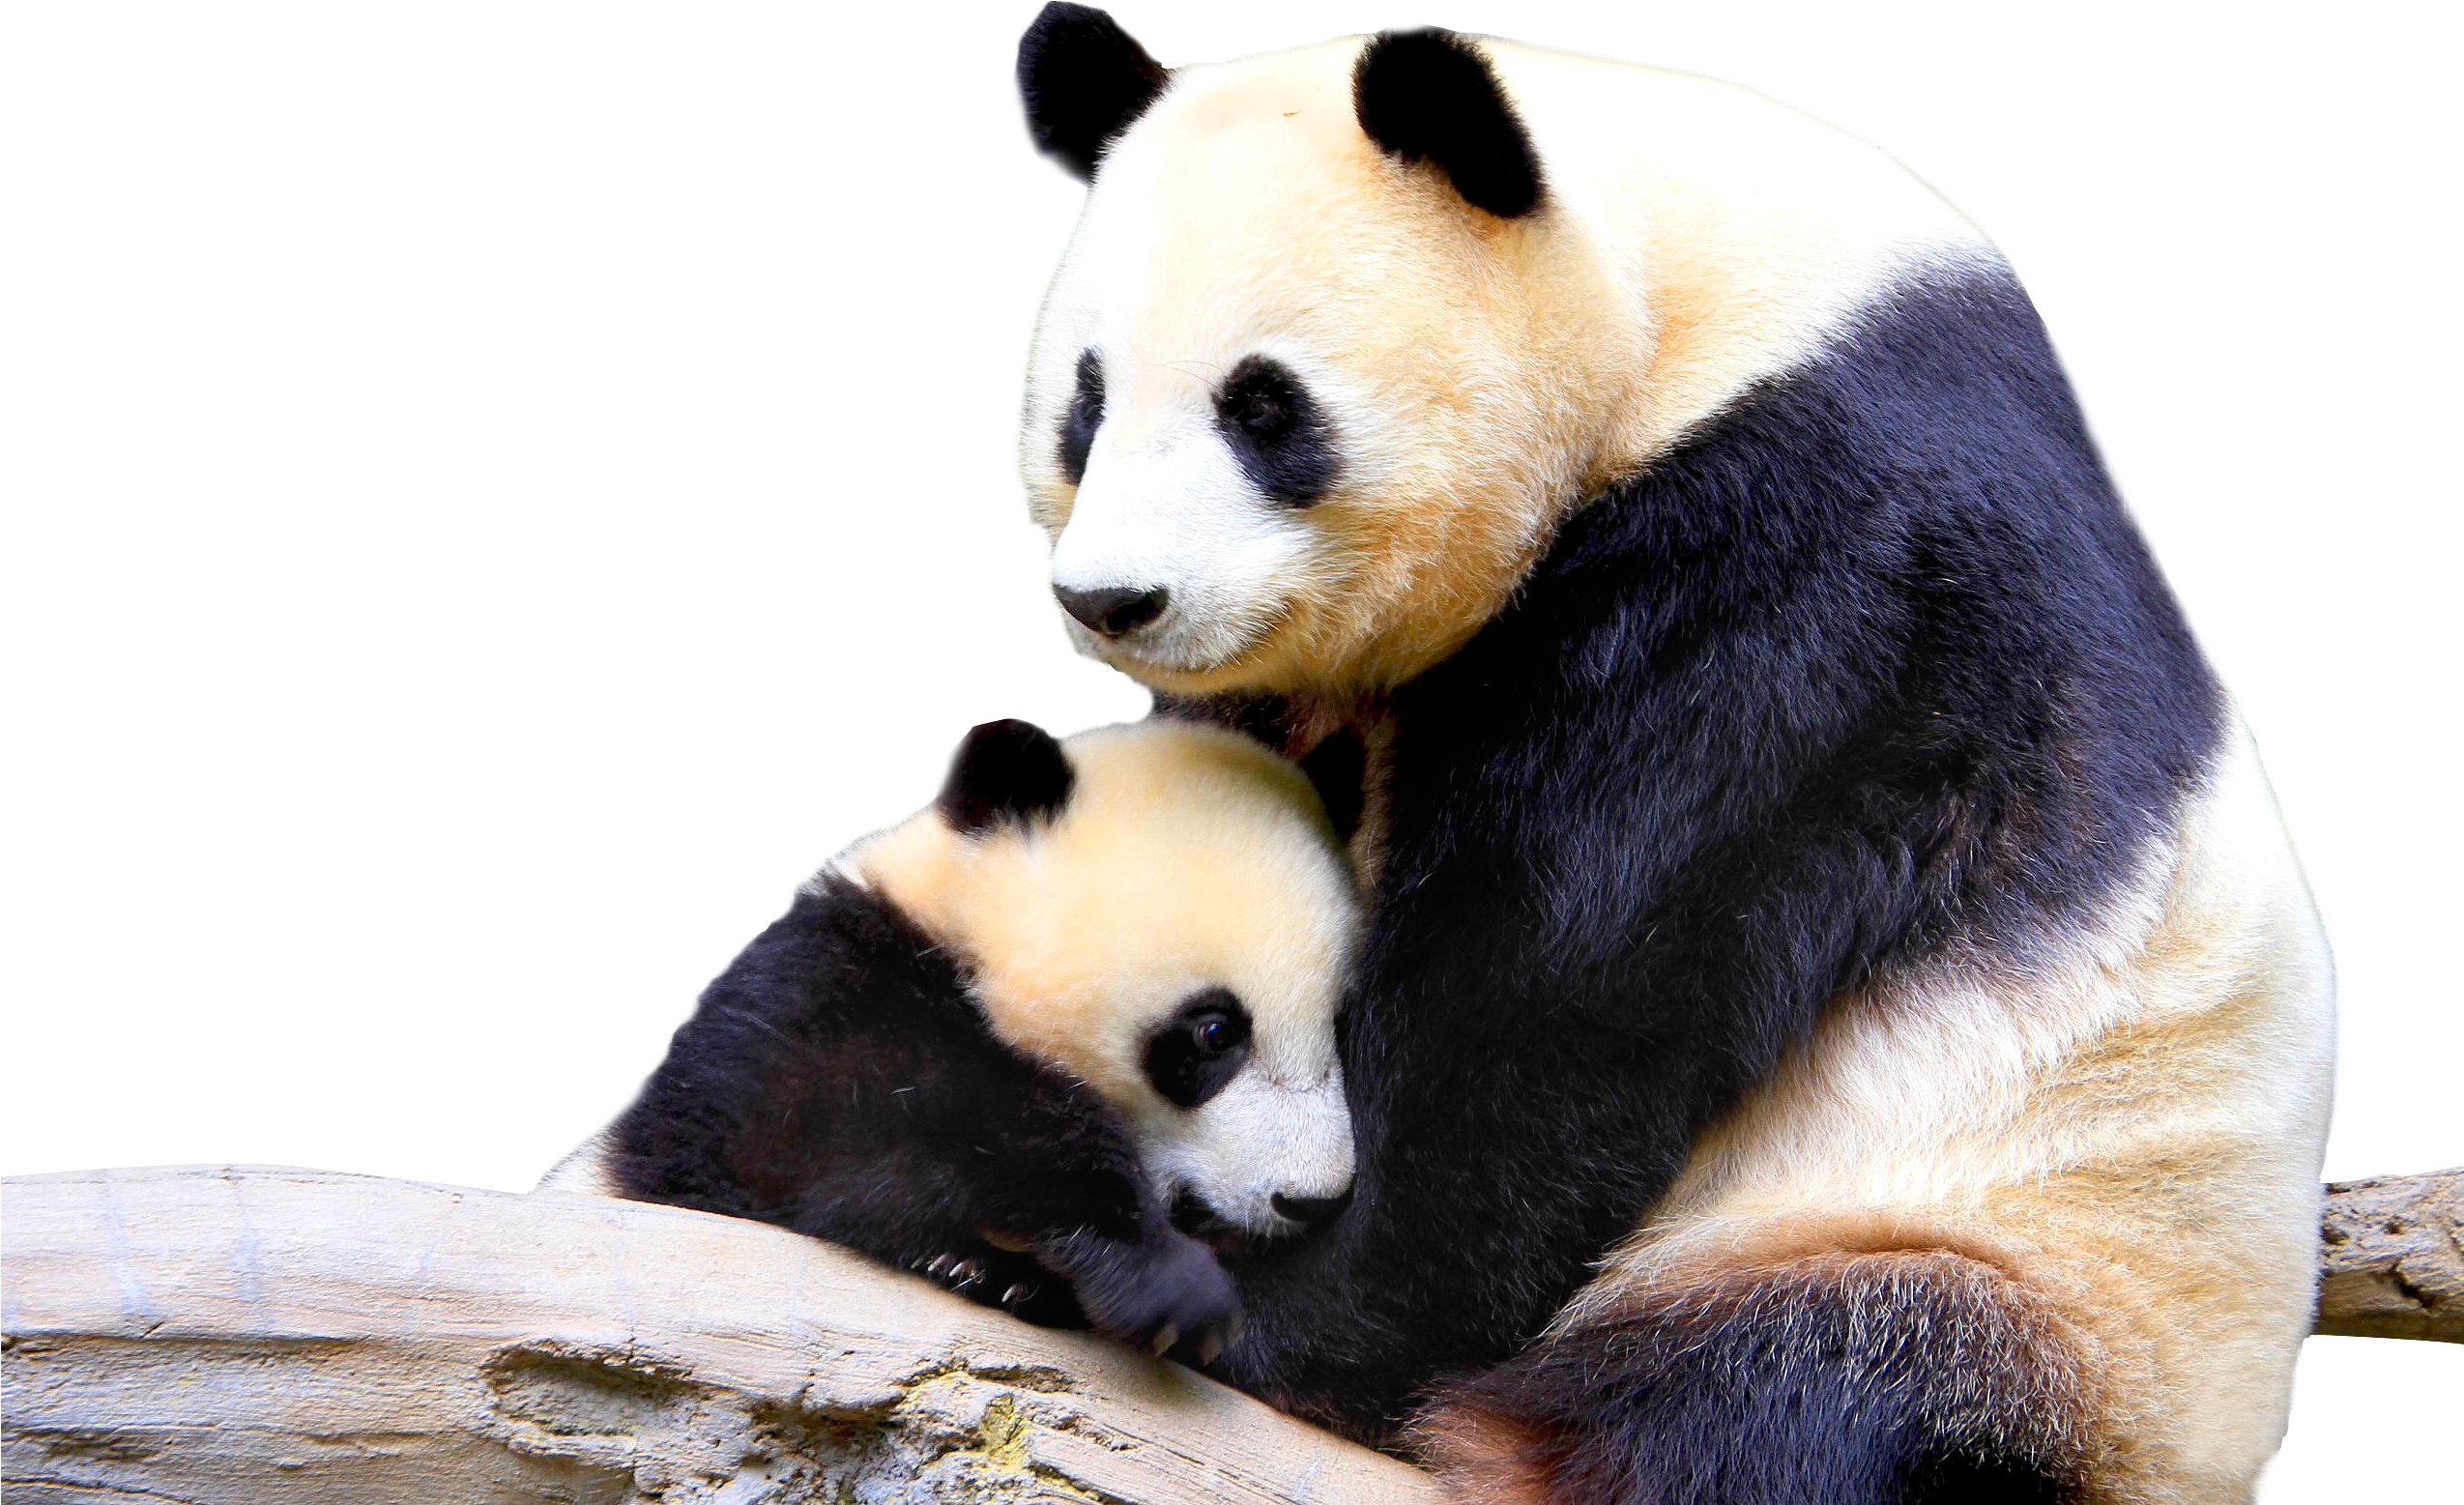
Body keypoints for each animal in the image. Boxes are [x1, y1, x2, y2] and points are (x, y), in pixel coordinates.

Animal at [537, 715, 1364, 1363]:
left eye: (1339, 1024)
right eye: (1214, 1032)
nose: (1311, 1199)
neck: (956, 925)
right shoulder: (807, 984)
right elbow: (814, 1128)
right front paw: (1157, 1274)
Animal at [1007, 9, 2339, 1503]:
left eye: (1264, 410)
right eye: (1086, 402)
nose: (1114, 599)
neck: (1692, 285)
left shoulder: (1821, 559)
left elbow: (1559, 991)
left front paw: (1232, 1296)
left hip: (2018, 1262)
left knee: (1797, 1400)